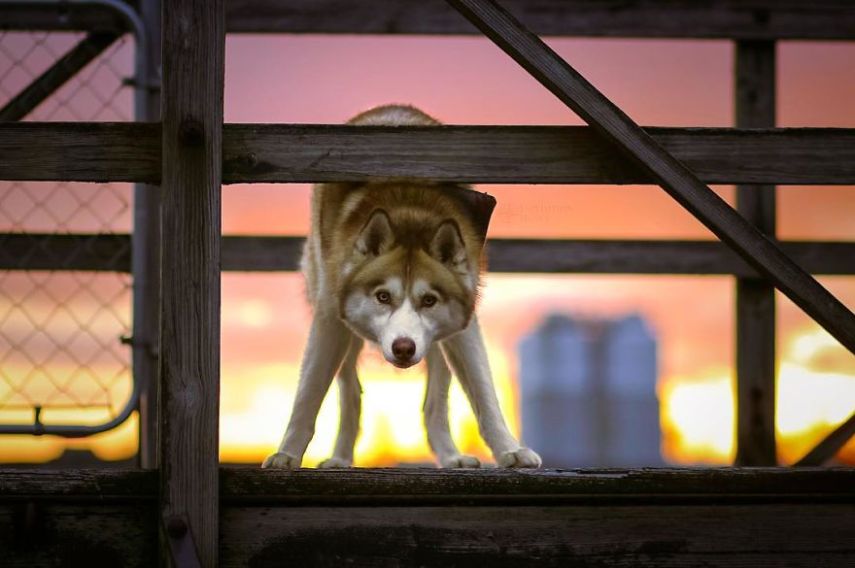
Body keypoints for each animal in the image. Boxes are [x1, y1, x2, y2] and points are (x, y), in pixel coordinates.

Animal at [262, 104, 540, 468]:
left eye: (429, 300)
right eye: (383, 296)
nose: (403, 348)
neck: (409, 212)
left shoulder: (464, 327)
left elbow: (484, 396)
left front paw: (510, 450)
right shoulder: (328, 321)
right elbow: (307, 397)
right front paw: (287, 455)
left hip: (438, 342)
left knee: (434, 404)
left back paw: (450, 456)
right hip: (343, 330)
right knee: (350, 394)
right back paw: (340, 457)